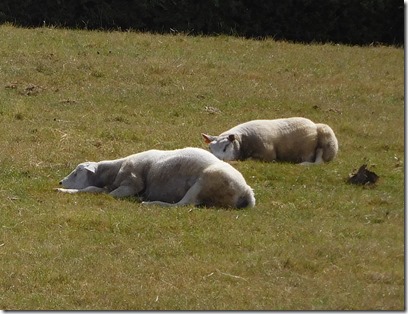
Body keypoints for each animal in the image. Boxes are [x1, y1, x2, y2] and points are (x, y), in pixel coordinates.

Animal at [56, 147, 255, 209]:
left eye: (77, 172)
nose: (61, 181)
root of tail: (246, 191)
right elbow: (95, 189)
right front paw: (62, 189)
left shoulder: (132, 183)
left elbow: (100, 193)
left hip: (204, 182)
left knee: (183, 205)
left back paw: (149, 203)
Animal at [201, 117, 338, 166]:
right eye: (210, 149)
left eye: (225, 147)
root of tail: (314, 125)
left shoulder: (267, 154)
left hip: (325, 140)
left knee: (319, 160)